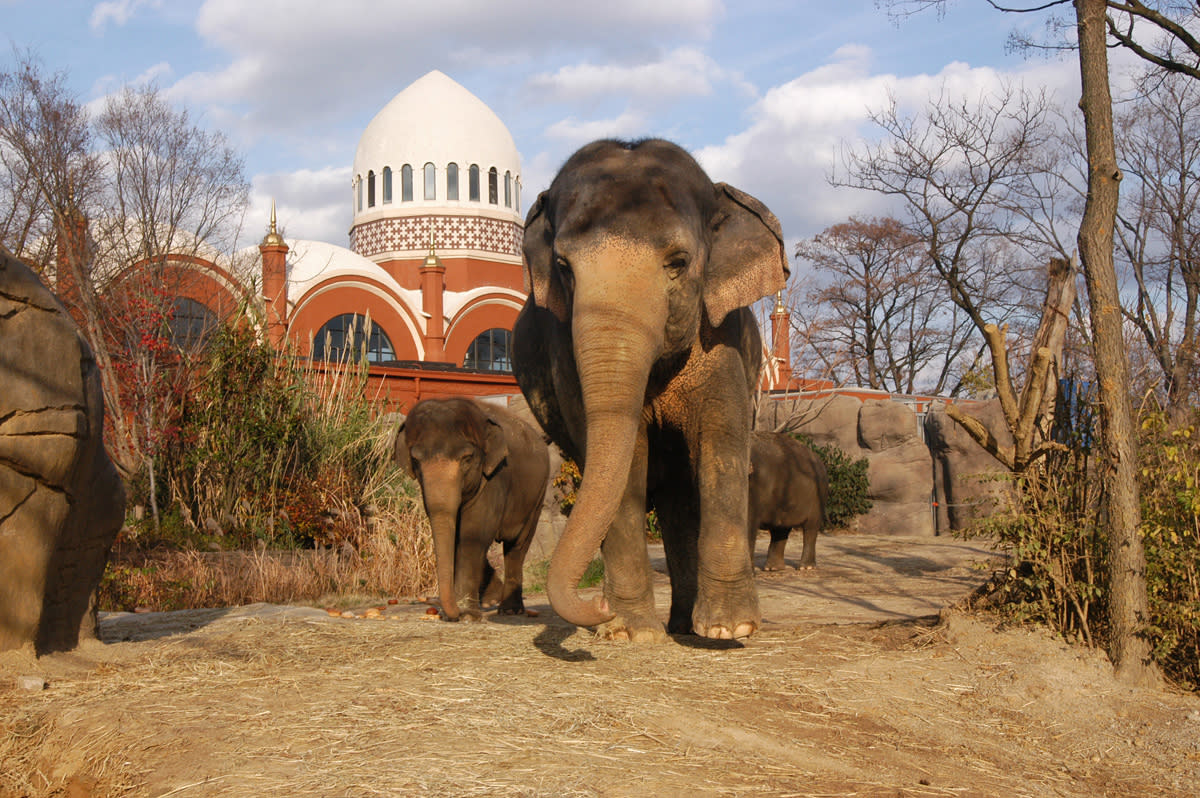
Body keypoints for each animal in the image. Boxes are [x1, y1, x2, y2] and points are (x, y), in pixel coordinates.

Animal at [393, 398, 549, 624]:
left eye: (466, 459)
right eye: (415, 460)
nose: (450, 613)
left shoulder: (494, 478)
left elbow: (472, 536)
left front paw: (467, 615)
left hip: (537, 496)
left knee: (517, 546)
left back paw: (509, 610)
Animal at [513, 138, 787, 643]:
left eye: (678, 262)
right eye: (563, 267)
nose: (597, 605)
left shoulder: (723, 337)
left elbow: (721, 445)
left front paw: (730, 629)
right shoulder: (565, 350)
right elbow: (624, 460)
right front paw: (630, 632)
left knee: (685, 492)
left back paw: (687, 625)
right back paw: (674, 624)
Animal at [744, 432, 830, 568]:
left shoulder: (755, 485)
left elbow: (749, 521)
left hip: (819, 495)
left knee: (811, 527)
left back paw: (806, 567)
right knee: (781, 529)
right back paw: (773, 568)